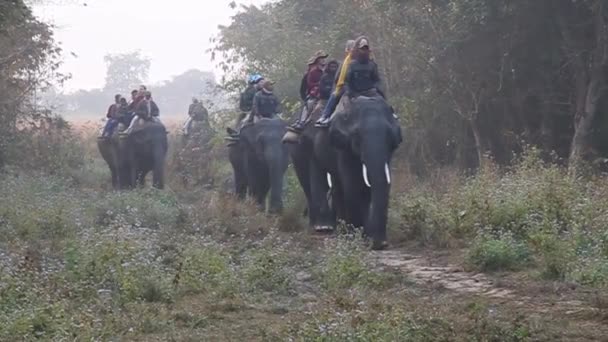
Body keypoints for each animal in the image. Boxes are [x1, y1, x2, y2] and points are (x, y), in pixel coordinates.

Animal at [328, 95, 404, 250]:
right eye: (357, 136)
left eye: (390, 135)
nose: (381, 244)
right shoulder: (343, 149)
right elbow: (353, 187)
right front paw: (358, 239)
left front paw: (372, 240)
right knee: (339, 189)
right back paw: (344, 234)